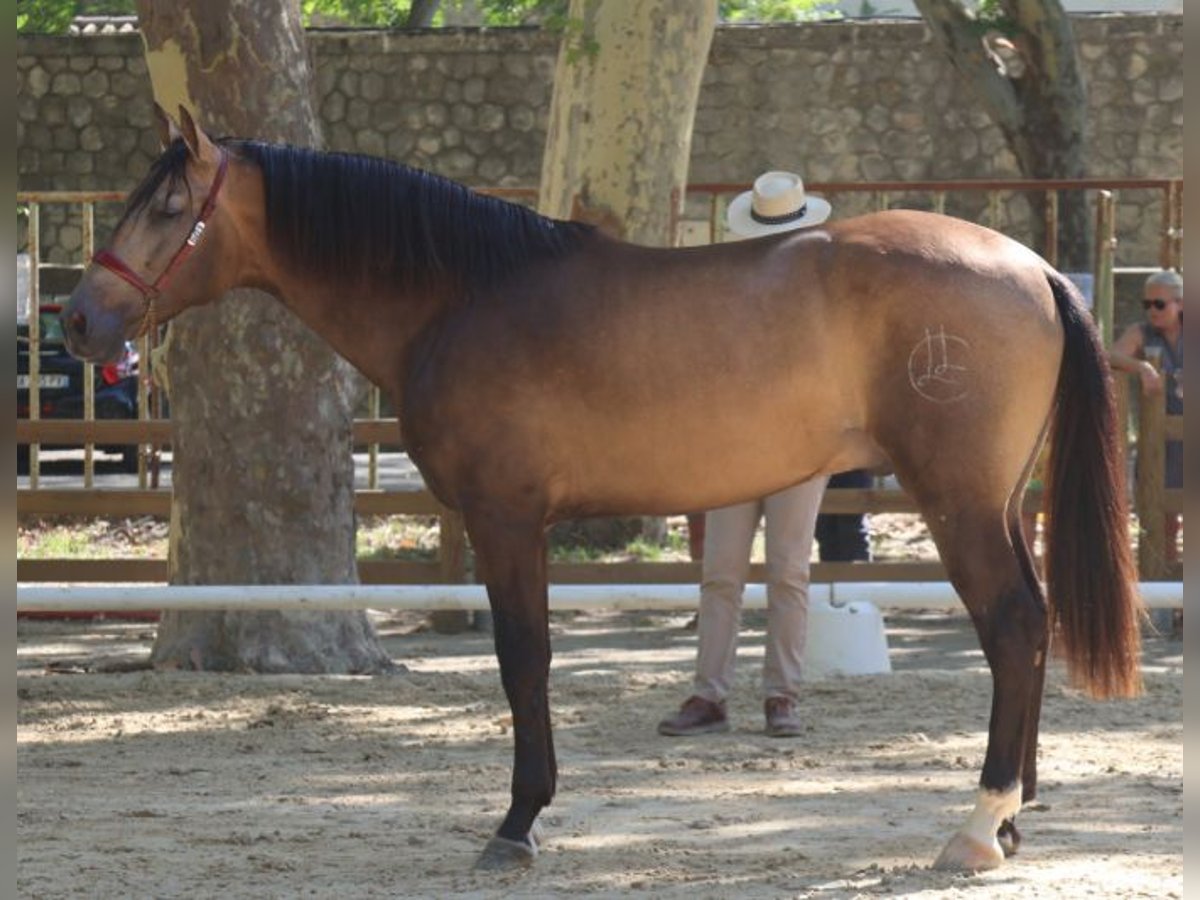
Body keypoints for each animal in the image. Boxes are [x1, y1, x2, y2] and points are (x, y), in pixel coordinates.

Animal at [58, 107, 1142, 873]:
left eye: (168, 209)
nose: (76, 318)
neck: (459, 295)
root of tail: (1033, 264)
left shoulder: (505, 521)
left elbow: (523, 662)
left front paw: (516, 824)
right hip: (998, 504)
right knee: (1031, 626)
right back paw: (1014, 820)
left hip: (957, 503)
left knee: (1012, 624)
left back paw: (977, 826)